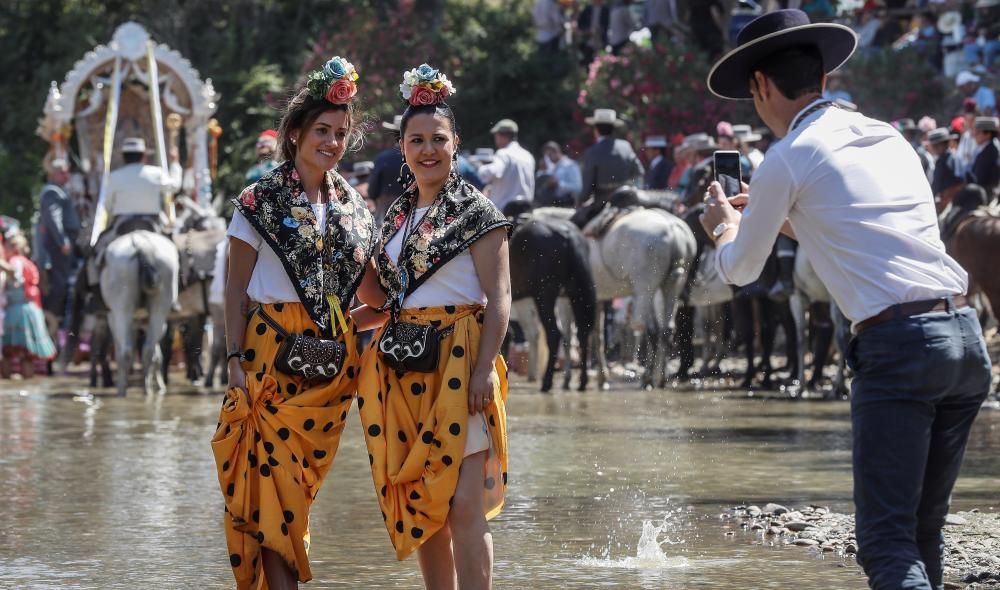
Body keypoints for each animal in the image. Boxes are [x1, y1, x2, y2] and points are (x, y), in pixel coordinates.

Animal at [100, 231, 179, 398]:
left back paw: (122, 390)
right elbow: (157, 354)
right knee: (148, 350)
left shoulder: (113, 317)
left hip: (122, 308)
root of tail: (142, 244)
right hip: (159, 307)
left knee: (126, 352)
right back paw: (146, 388)